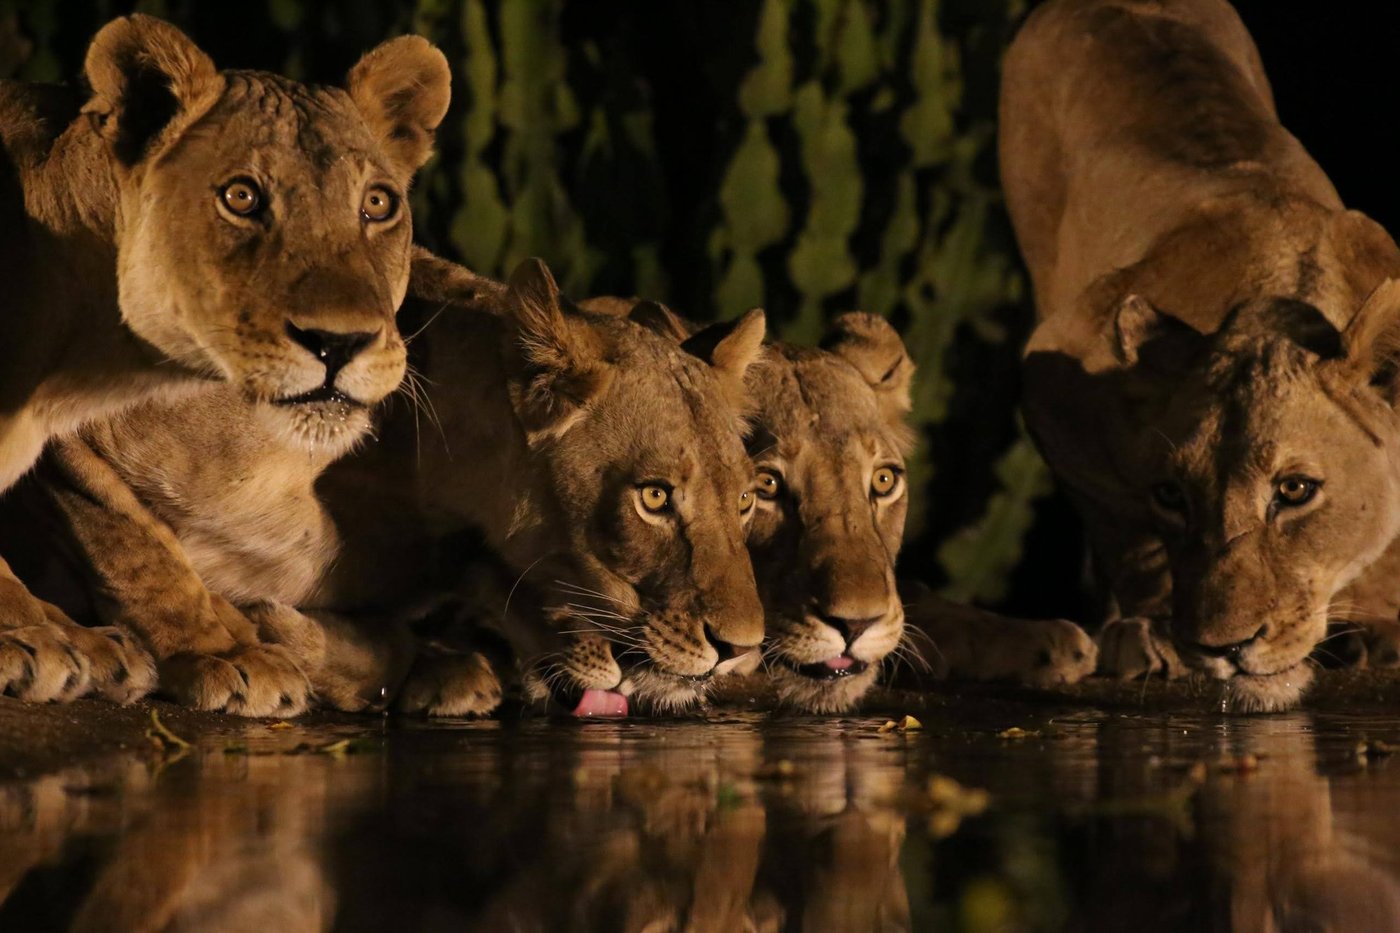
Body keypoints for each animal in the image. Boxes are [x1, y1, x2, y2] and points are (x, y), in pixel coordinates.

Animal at [0, 13, 450, 704]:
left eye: (377, 204)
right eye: (241, 197)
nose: (339, 343)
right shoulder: (73, 452)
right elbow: (134, 541)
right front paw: (218, 650)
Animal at [1000, 0, 1400, 711]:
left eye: (1295, 491)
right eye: (1171, 494)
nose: (1223, 648)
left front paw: (1379, 624)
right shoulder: (1052, 371)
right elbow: (1129, 535)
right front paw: (1150, 631)